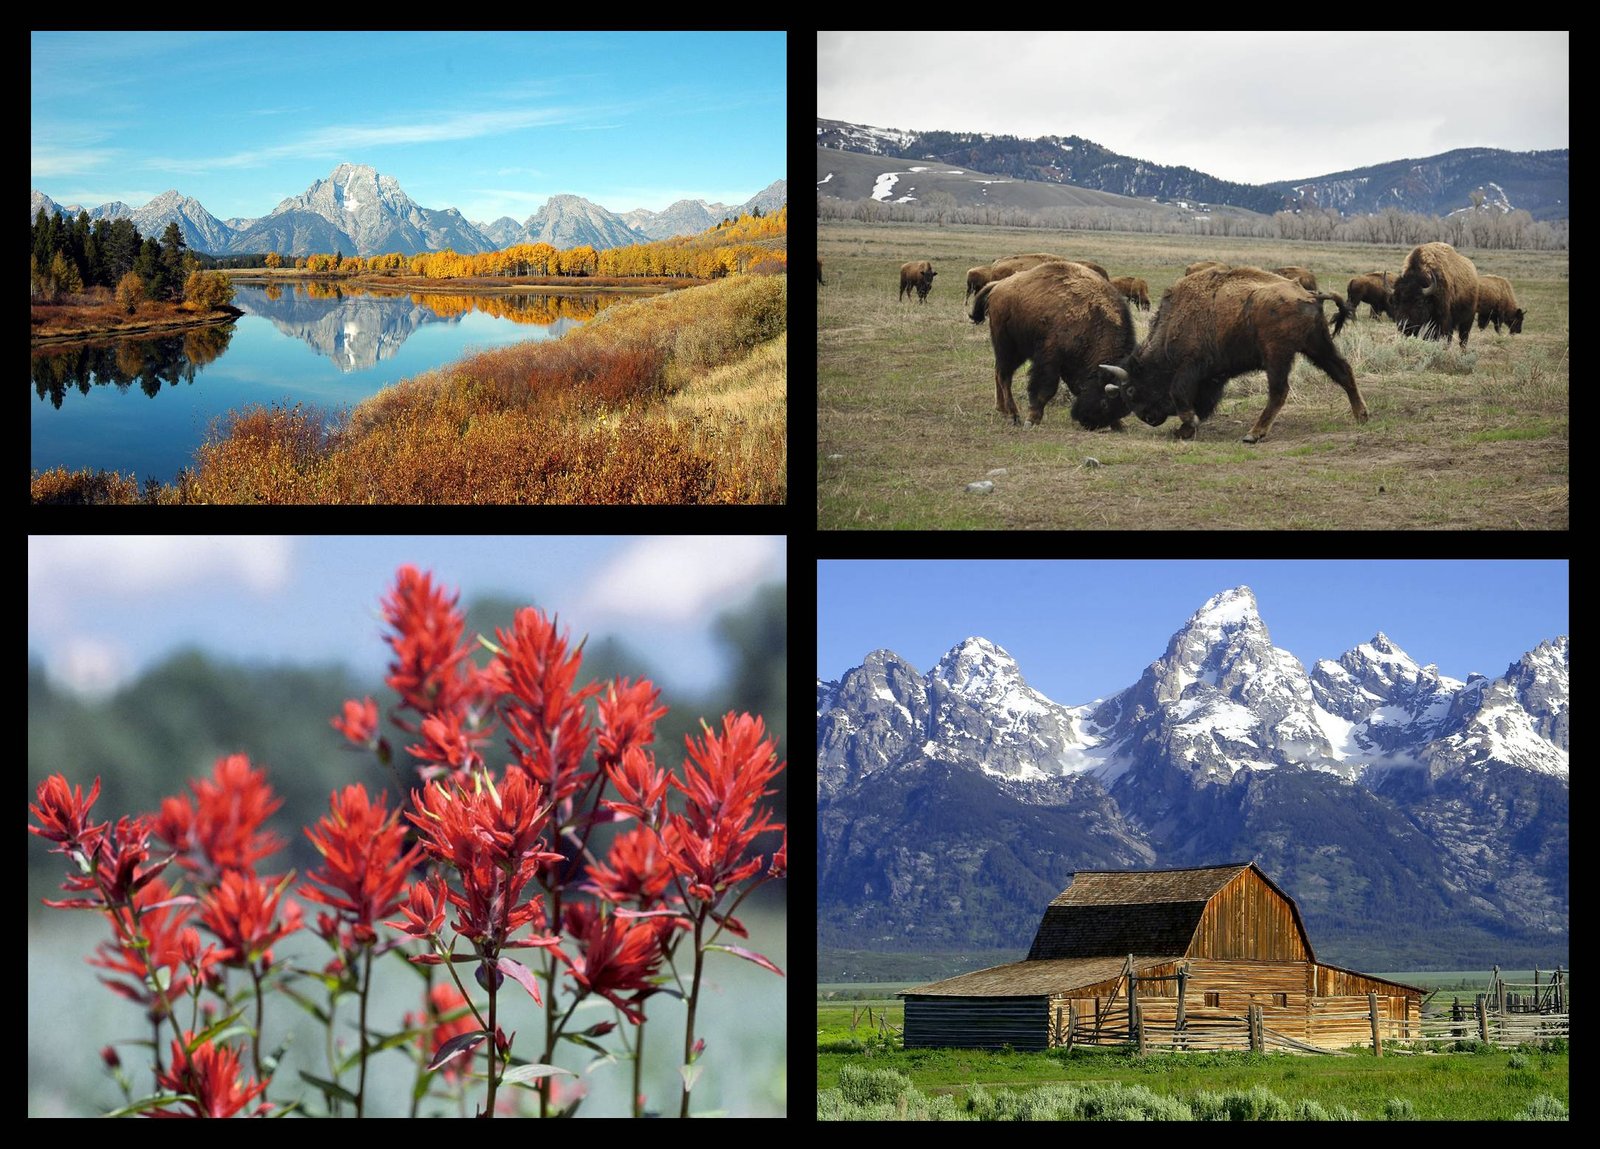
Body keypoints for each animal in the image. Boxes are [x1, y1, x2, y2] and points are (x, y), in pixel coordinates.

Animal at [960, 260, 1139, 432]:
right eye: (1104, 403)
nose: (1088, 423)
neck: (1093, 321)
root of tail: (998, 285)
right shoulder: (1050, 359)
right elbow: (1045, 389)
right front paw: (1032, 420)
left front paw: (1119, 425)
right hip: (1007, 347)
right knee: (1004, 376)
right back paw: (1014, 415)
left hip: (1015, 352)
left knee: (998, 372)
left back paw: (1002, 410)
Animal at [1081, 267, 1369, 444]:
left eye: (1130, 390)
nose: (1148, 419)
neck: (1173, 325)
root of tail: (1309, 295)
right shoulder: (1213, 377)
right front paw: (1185, 429)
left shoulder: (1190, 367)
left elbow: (1180, 394)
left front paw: (1187, 425)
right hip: (1316, 346)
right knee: (1343, 371)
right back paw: (1361, 416)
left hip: (1278, 355)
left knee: (1279, 391)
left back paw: (1253, 434)